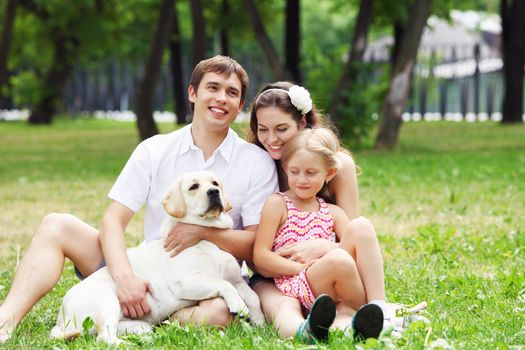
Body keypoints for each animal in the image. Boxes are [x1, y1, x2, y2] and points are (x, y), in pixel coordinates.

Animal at [50, 172, 264, 344]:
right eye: (194, 186)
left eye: (215, 183)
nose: (213, 192)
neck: (206, 236)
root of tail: (61, 318)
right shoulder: (186, 282)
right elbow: (223, 284)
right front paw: (238, 305)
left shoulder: (237, 280)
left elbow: (253, 297)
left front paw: (260, 322)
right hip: (107, 302)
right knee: (105, 338)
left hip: (136, 324)